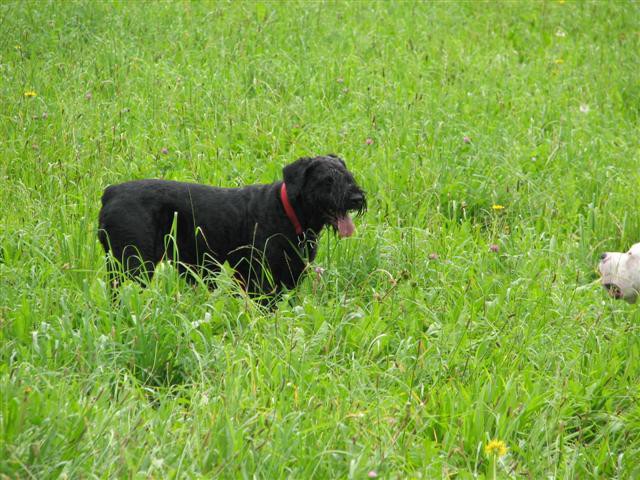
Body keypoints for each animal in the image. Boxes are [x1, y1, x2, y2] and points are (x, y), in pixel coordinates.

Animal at [95, 155, 364, 296]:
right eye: (327, 180)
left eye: (347, 175)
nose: (357, 198)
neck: (290, 213)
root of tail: (110, 193)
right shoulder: (261, 279)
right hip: (134, 266)